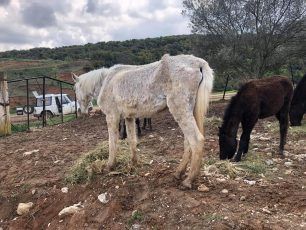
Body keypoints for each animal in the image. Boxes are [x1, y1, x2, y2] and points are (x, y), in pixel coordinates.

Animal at [97, 54, 213, 189]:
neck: (108, 80)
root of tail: (198, 63)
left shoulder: (112, 116)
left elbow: (112, 142)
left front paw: (110, 165)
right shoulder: (129, 117)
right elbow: (132, 140)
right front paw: (133, 164)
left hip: (181, 110)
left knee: (196, 140)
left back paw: (188, 180)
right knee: (188, 143)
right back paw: (179, 173)